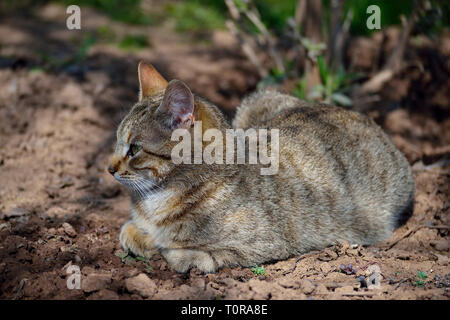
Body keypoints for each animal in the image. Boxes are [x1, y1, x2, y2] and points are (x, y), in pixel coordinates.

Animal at [106, 61, 414, 274]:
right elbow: (131, 230)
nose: (109, 168)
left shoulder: (264, 244)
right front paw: (141, 235)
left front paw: (166, 249)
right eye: (118, 142)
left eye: (134, 149)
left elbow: (191, 253)